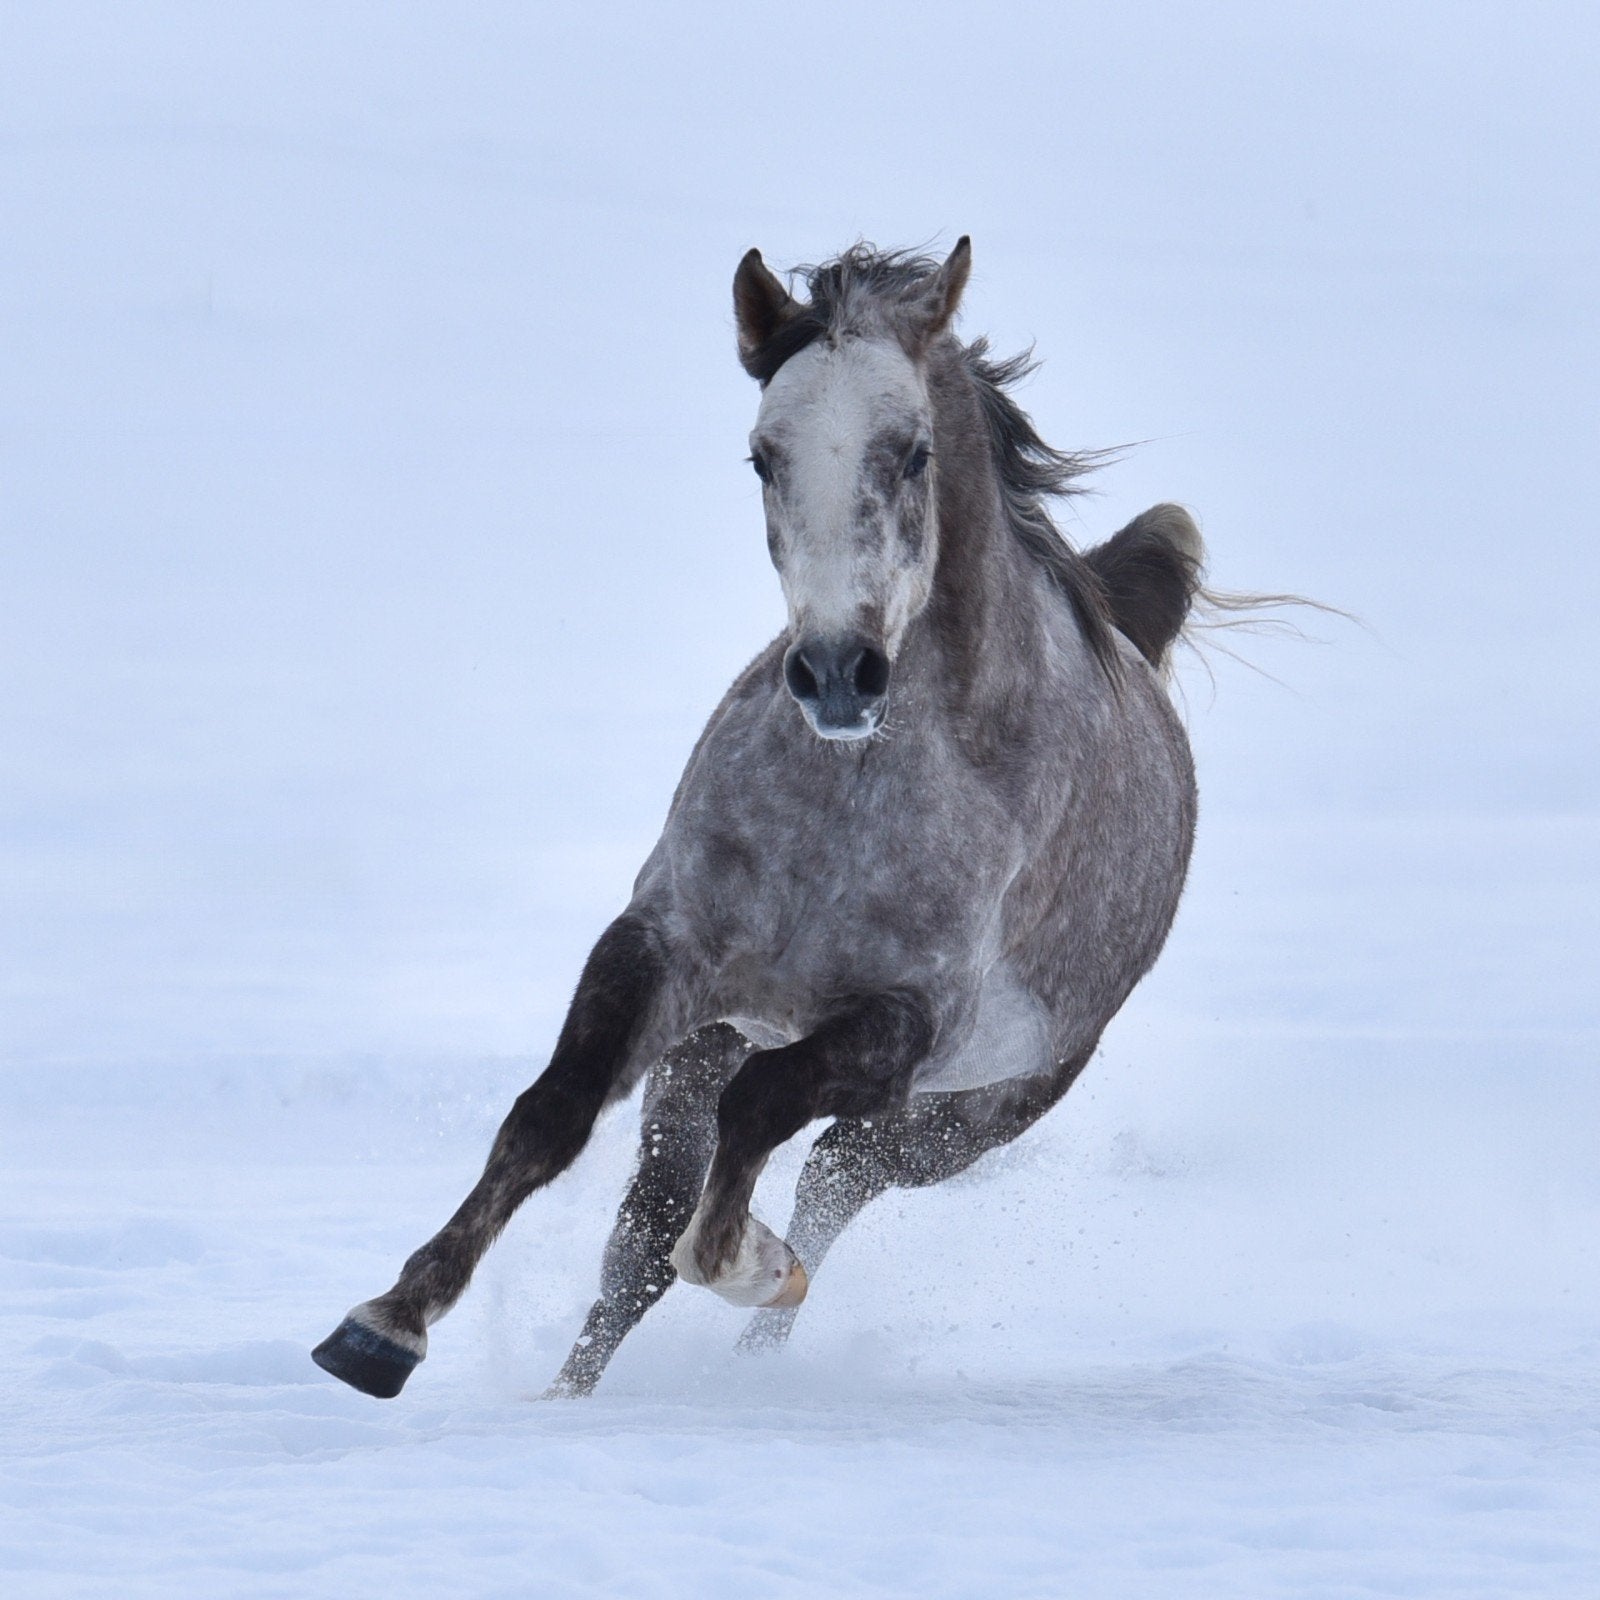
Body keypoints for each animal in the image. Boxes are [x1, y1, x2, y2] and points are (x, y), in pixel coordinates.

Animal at [312, 238, 1208, 1400]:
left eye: (912, 453)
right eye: (761, 456)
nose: (835, 673)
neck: (854, 802)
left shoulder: (904, 1021)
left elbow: (754, 1136)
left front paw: (752, 1265)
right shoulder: (665, 951)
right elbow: (552, 1115)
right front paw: (384, 1327)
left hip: (968, 1115)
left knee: (832, 1180)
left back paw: (763, 1333)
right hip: (715, 1043)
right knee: (645, 1235)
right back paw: (569, 1393)